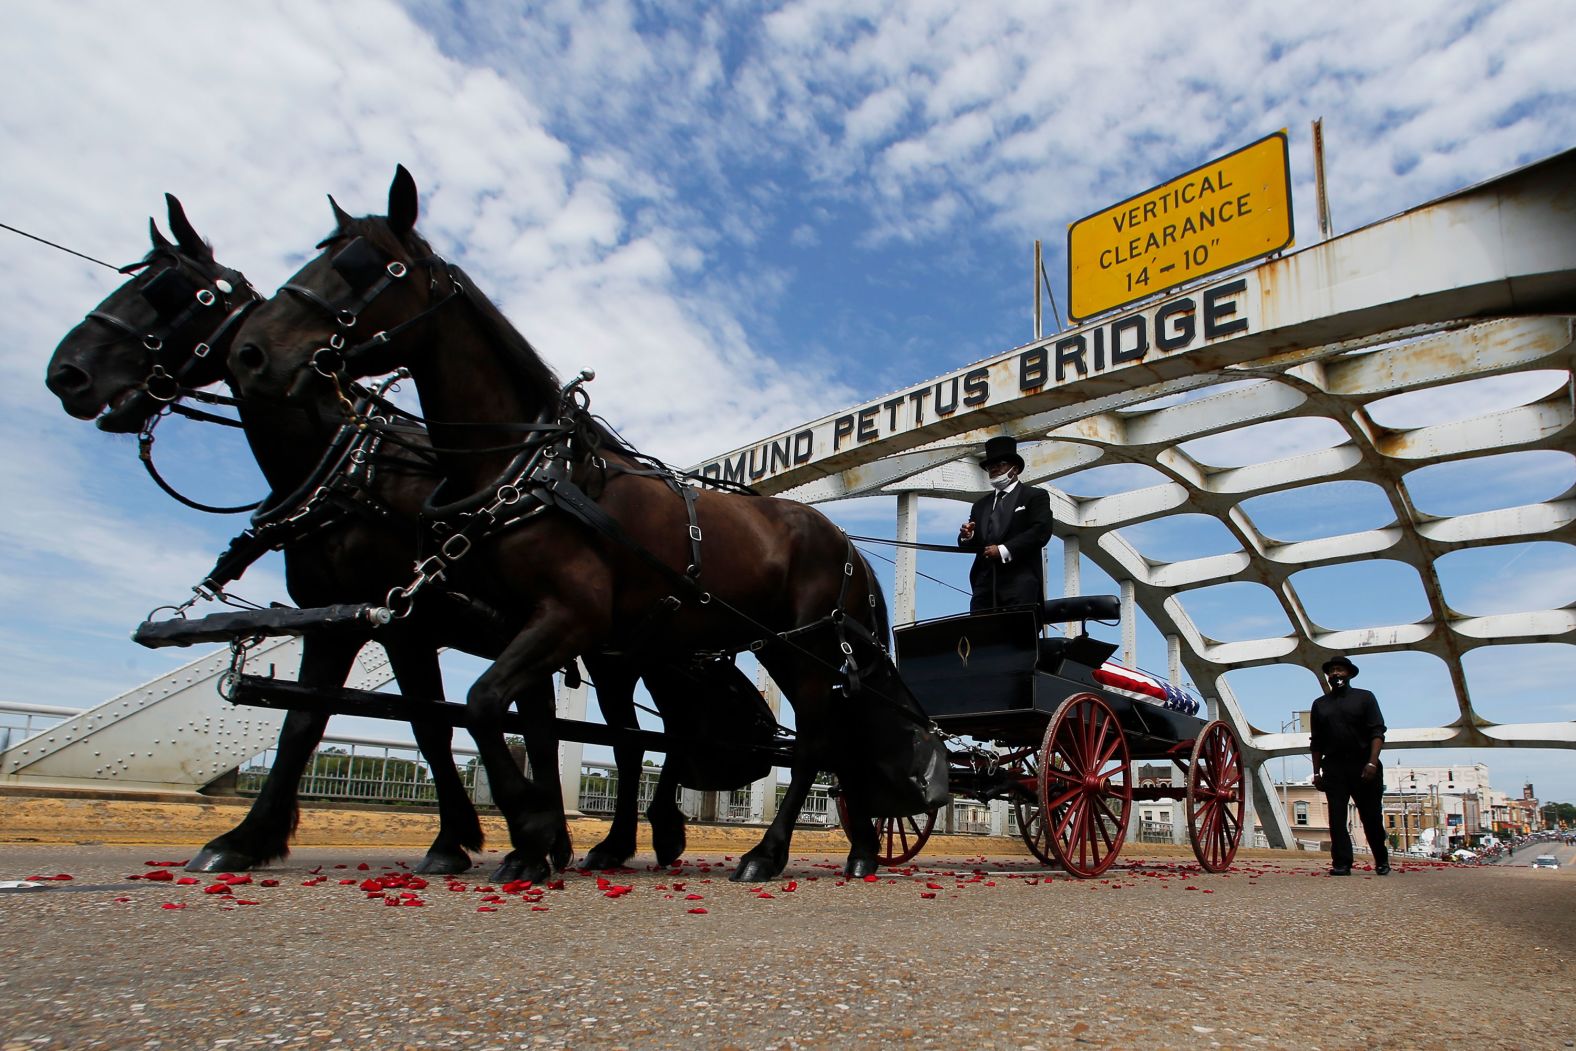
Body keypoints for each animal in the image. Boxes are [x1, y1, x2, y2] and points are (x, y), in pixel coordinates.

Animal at [43, 199, 690, 882]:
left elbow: (430, 726)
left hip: (634, 653)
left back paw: (631, 837)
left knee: (641, 739)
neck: (351, 470)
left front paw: (457, 839)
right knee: (594, 730)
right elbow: (306, 721)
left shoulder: (405, 625)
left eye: (172, 292)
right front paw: (247, 838)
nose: (67, 374)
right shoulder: (336, 619)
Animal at [228, 170, 926, 888]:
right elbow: (527, 725)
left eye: (368, 267)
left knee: (815, 737)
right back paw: (860, 847)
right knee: (832, 736)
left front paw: (532, 830)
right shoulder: (521, 629)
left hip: (801, 646)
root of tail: (848, 545)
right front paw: (547, 838)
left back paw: (770, 850)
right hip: (781, 648)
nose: (252, 352)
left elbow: (480, 704)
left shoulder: (566, 617)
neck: (527, 469)